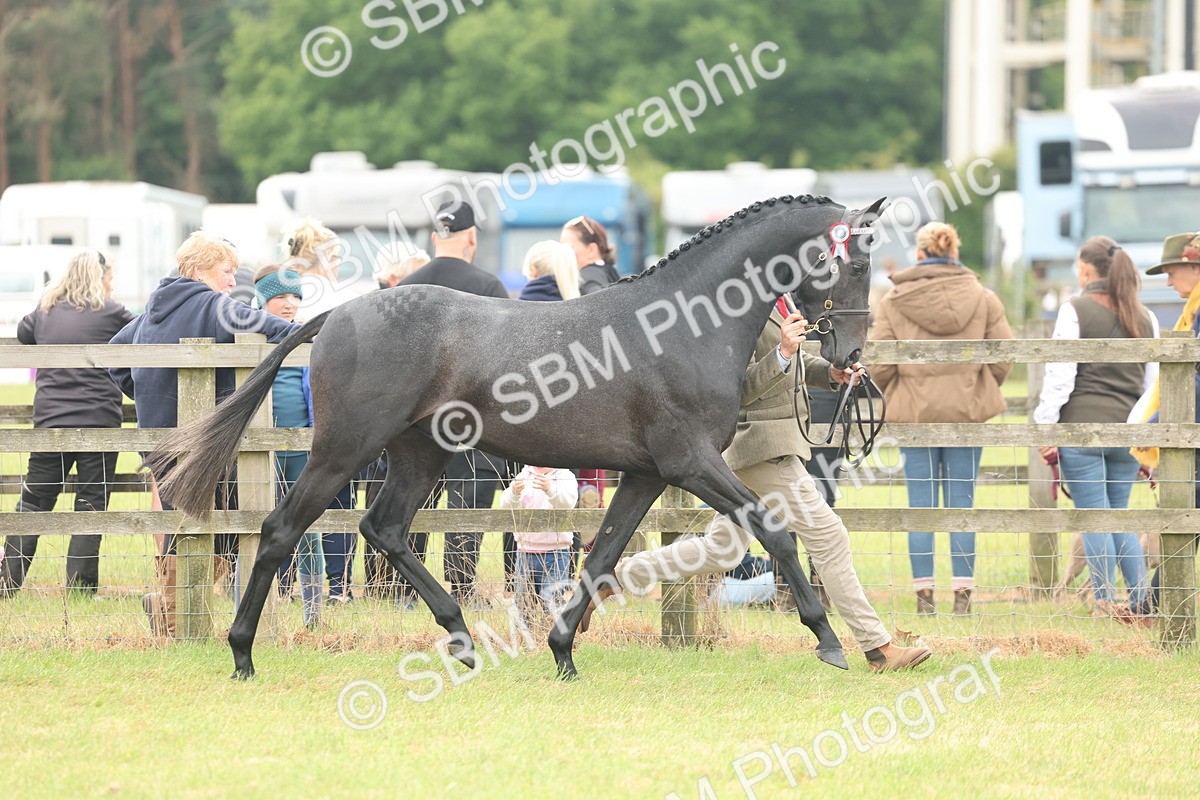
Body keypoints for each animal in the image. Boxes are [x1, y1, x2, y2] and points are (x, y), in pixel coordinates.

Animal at [151, 194, 884, 680]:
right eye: (854, 264)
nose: (849, 354)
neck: (682, 324)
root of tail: (338, 314)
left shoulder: (646, 473)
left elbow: (601, 556)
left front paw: (562, 651)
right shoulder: (692, 462)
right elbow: (777, 533)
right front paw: (828, 640)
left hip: (419, 454)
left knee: (384, 530)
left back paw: (461, 638)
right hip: (343, 451)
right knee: (281, 531)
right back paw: (242, 653)